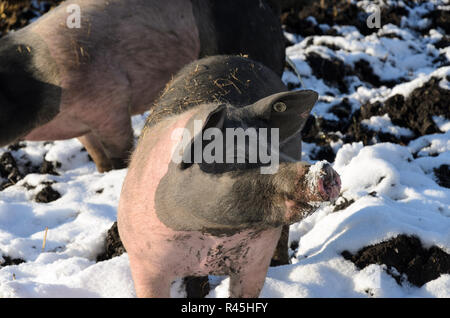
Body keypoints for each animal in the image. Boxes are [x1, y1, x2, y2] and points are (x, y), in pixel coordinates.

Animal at [0, 0, 284, 173]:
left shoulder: (109, 102)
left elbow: (120, 148)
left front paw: (118, 170)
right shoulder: (82, 126)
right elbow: (96, 153)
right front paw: (102, 171)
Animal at [117, 55, 342, 298]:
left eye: (273, 149)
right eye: (236, 156)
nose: (325, 170)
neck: (213, 235)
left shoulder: (256, 262)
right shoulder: (143, 260)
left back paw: (281, 265)